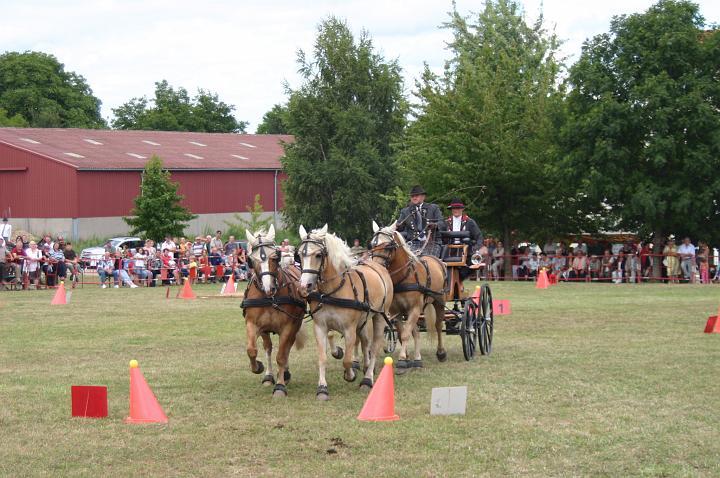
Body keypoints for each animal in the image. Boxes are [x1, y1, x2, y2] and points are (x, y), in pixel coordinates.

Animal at [240, 225, 307, 398]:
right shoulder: (253, 324)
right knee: (268, 348)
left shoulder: (288, 327)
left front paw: (280, 385)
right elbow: (252, 350)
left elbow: (281, 356)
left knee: (287, 347)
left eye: (275, 257)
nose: (268, 287)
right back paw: (269, 376)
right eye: (251, 260)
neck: (271, 298)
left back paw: (284, 374)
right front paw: (258, 367)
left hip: (295, 326)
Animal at [297, 224, 394, 401]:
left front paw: (350, 375)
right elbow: (322, 358)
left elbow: (347, 359)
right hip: (363, 321)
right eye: (300, 254)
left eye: (318, 255)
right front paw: (322, 387)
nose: (304, 286)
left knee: (375, 345)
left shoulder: (349, 329)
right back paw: (366, 365)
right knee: (365, 342)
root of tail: (379, 266)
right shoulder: (320, 327)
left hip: (379, 316)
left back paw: (368, 378)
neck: (332, 291)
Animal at [370, 221, 448, 373]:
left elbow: (406, 334)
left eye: (388, 246)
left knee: (438, 325)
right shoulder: (396, 311)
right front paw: (406, 359)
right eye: (372, 245)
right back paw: (417, 359)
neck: (405, 275)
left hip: (439, 301)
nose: (376, 266)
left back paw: (441, 352)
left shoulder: (415, 308)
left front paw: (401, 360)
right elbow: (403, 333)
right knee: (416, 332)